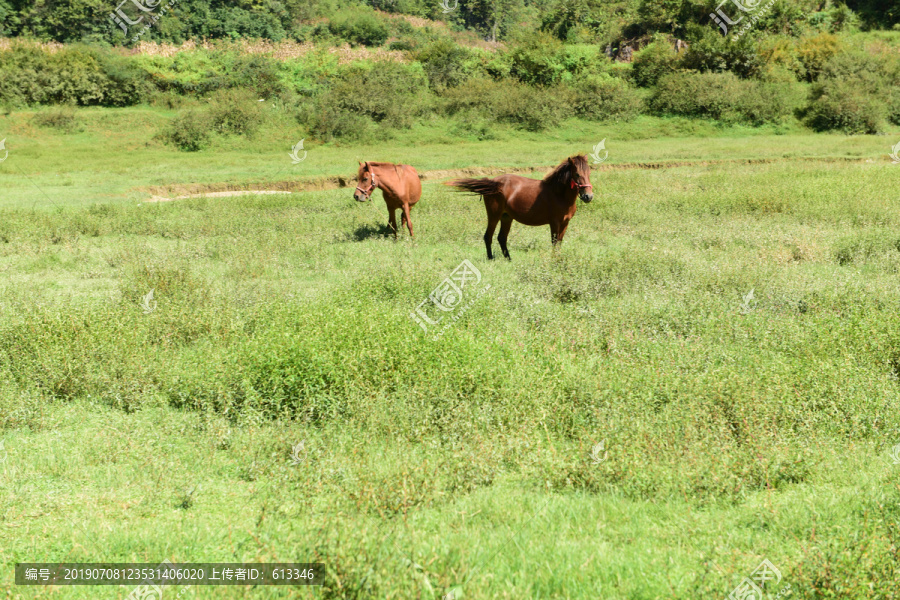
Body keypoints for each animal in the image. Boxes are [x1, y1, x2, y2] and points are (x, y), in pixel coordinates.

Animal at [445, 155, 594, 260]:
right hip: (494, 215)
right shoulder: (554, 223)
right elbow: (554, 242)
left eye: (589, 174)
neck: (559, 194)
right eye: (577, 174)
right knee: (488, 236)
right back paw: (491, 258)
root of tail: (492, 182)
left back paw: (509, 259)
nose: (588, 196)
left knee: (501, 238)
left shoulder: (565, 223)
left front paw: (558, 259)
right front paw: (554, 261)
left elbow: (559, 243)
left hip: (506, 217)